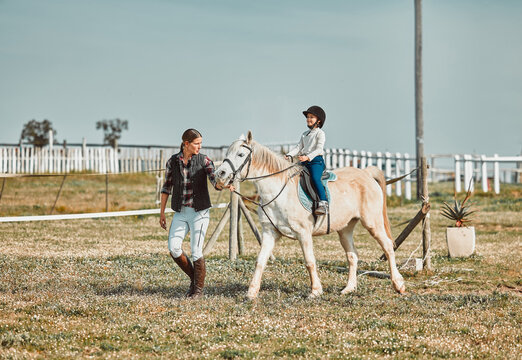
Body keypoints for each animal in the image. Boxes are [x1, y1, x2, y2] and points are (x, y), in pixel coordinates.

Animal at [213, 132, 404, 300]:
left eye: (240, 154)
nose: (219, 175)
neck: (279, 191)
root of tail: (366, 174)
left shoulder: (303, 233)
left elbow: (309, 261)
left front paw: (315, 291)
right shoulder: (269, 233)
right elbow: (260, 261)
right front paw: (251, 293)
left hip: (372, 223)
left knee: (388, 247)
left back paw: (398, 285)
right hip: (345, 229)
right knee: (352, 255)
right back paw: (349, 288)